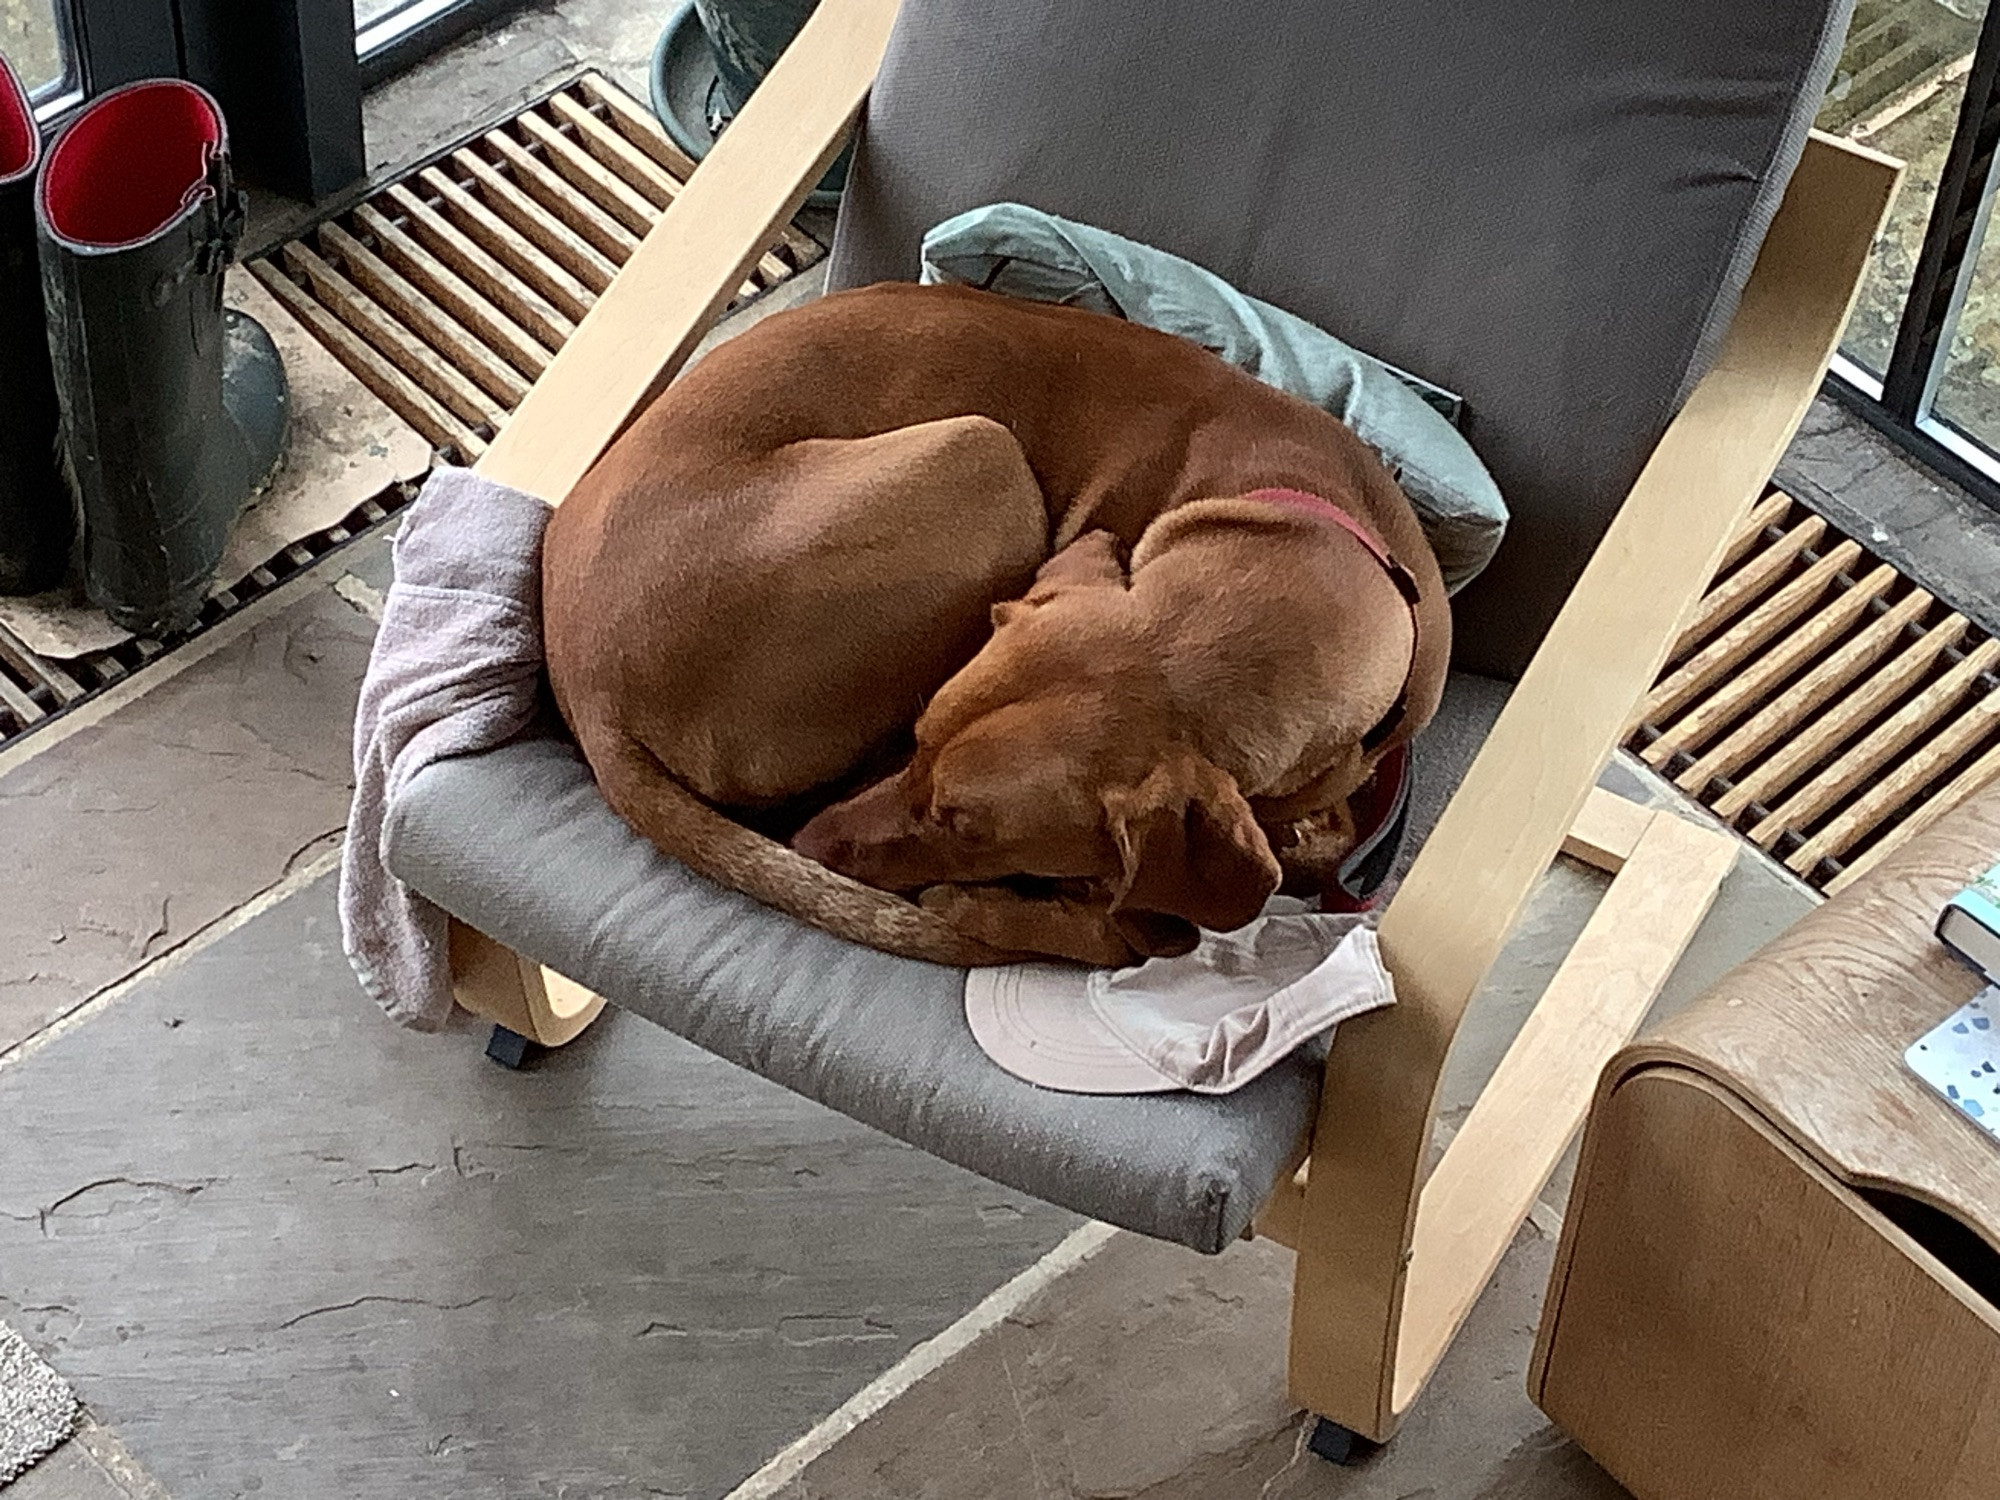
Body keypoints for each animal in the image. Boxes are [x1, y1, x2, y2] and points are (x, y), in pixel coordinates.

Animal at [548, 284, 1448, 964]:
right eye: (918, 741)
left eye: (966, 827)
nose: (811, 848)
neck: (1311, 534)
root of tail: (585, 686)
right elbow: (1144, 927)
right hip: (983, 455)